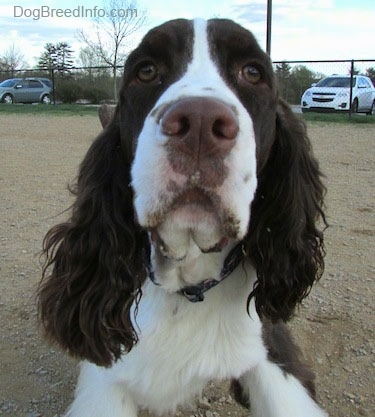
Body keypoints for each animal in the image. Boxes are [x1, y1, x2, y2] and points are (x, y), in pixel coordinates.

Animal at [38, 17, 328, 414]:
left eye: (253, 72)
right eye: (146, 70)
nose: (201, 123)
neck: (186, 287)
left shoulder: (272, 349)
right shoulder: (105, 377)